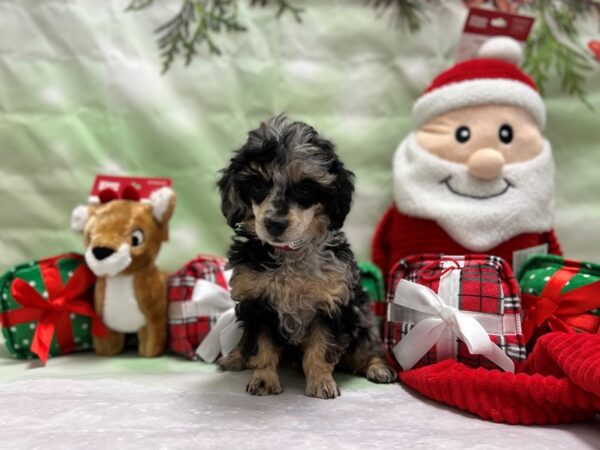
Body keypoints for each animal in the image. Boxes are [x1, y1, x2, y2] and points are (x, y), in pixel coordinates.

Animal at [218, 115, 396, 398]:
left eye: (304, 191)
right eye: (258, 186)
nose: (274, 224)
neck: (289, 252)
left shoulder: (332, 304)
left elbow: (321, 350)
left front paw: (321, 383)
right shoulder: (256, 303)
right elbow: (261, 347)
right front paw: (264, 379)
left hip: (362, 318)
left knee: (367, 347)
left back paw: (378, 367)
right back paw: (235, 357)